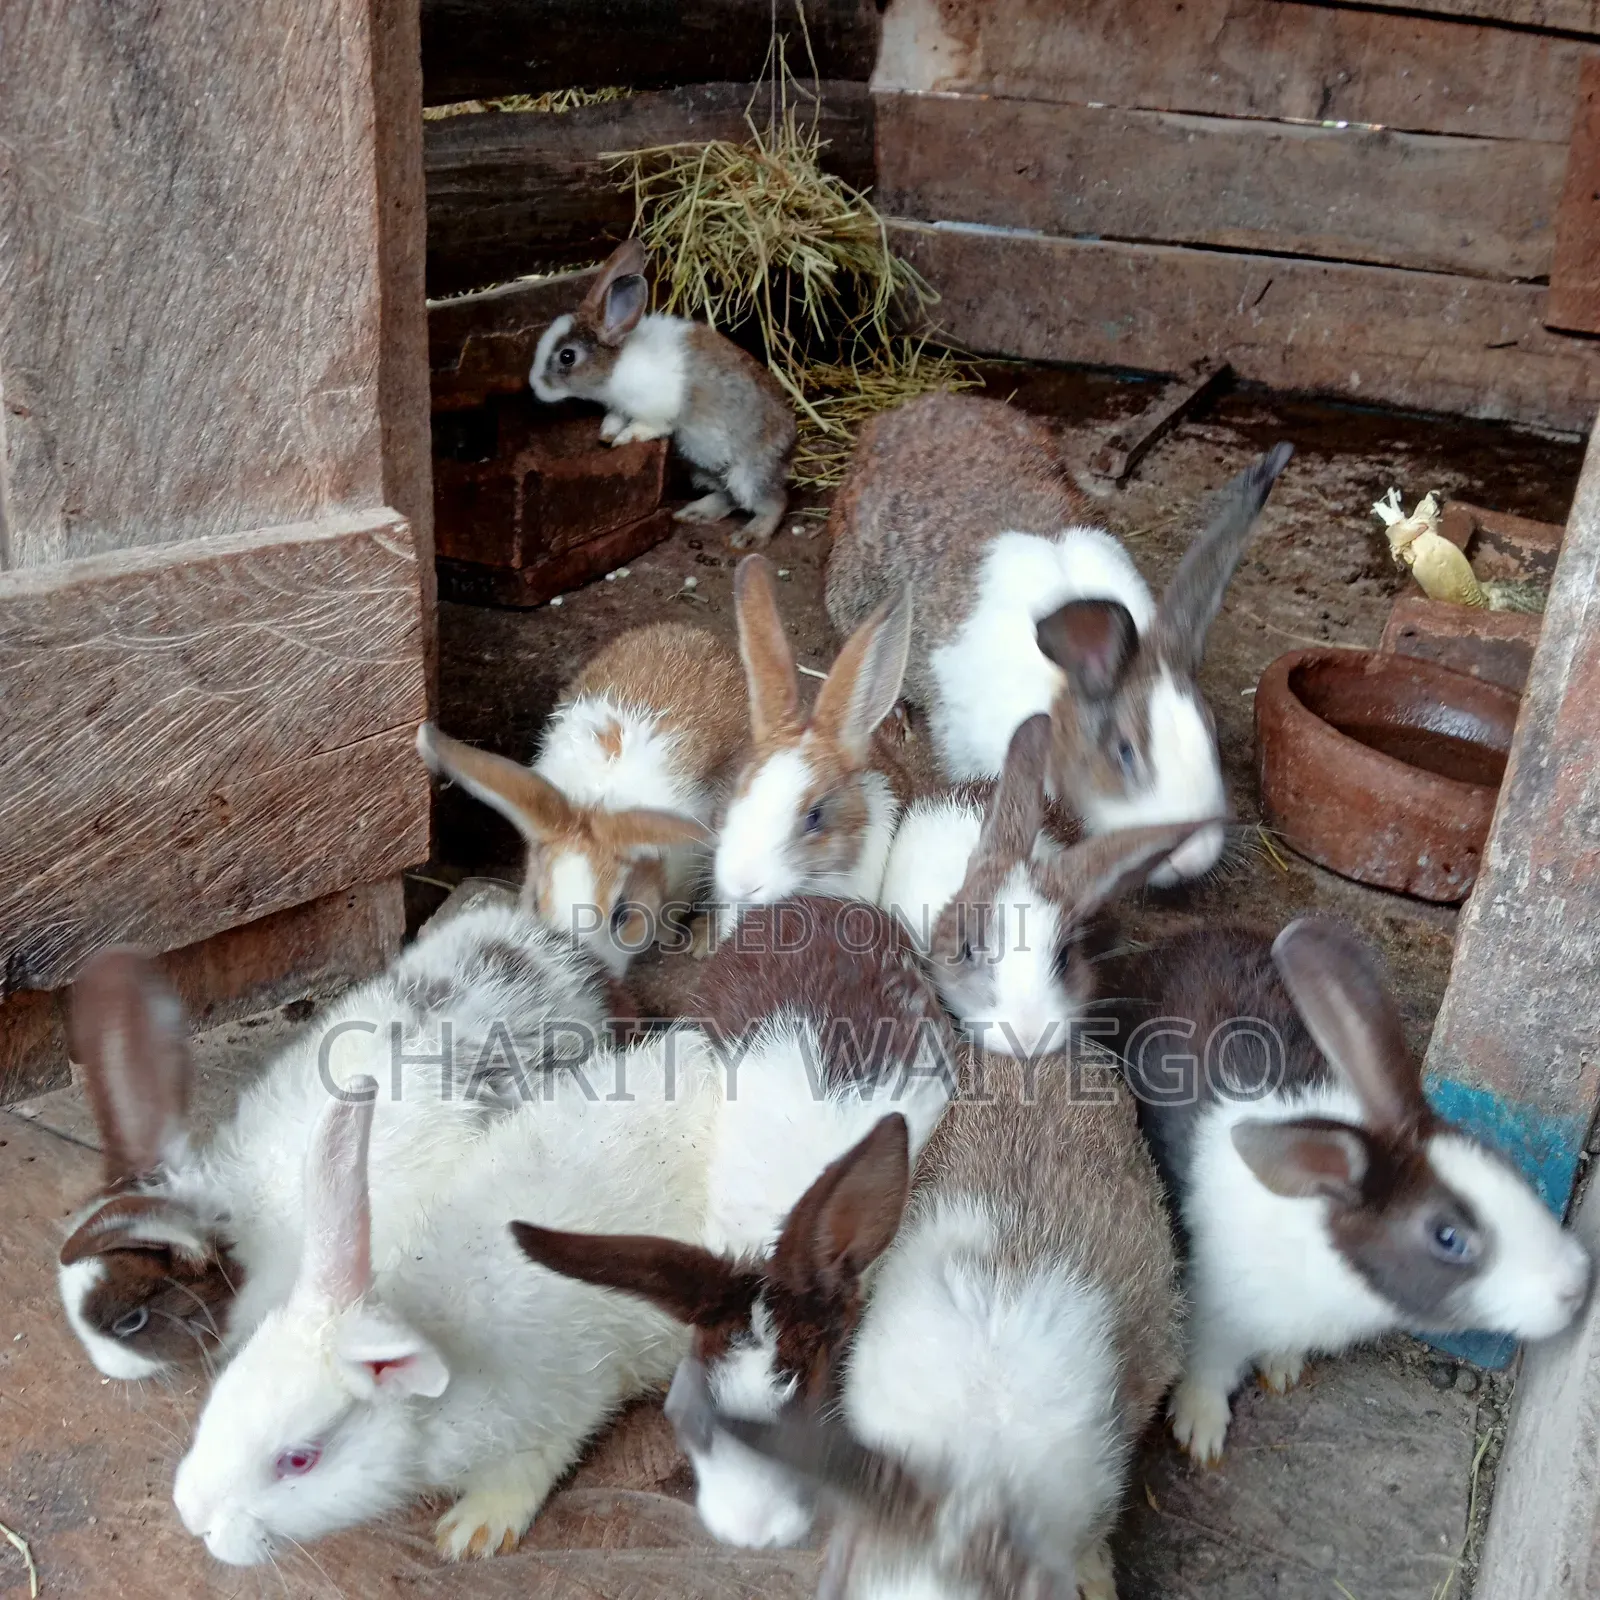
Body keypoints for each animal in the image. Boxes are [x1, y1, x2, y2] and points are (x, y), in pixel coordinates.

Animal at [529, 237, 798, 547]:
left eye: (567, 356)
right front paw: (607, 434)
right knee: (729, 497)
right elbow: (615, 418)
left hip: (747, 474)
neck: (615, 365)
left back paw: (750, 536)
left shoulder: (657, 411)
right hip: (703, 468)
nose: (535, 385)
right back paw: (696, 512)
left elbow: (649, 426)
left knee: (775, 502)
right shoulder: (619, 407)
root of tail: (791, 449)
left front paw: (624, 439)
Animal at [1103, 914, 1593, 1466]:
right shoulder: (1215, 1313)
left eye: (1503, 1165)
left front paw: (1283, 1367)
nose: (1577, 1286)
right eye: (1448, 1237)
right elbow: (1209, 1369)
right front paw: (1199, 1431)